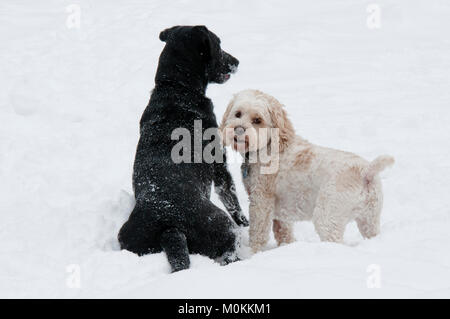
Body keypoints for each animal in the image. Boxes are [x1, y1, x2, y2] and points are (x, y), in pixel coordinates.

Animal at [118, 26, 248, 274]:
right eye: (218, 44)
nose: (237, 62)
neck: (176, 89)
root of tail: (170, 225)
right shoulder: (220, 166)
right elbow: (232, 198)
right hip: (224, 227)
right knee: (231, 254)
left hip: (126, 238)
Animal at [221, 89, 394, 252]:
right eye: (238, 114)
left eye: (257, 120)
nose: (238, 130)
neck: (268, 146)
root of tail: (366, 171)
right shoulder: (281, 212)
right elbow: (283, 231)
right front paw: (287, 245)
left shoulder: (261, 200)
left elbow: (258, 233)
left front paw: (252, 253)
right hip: (369, 218)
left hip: (328, 216)